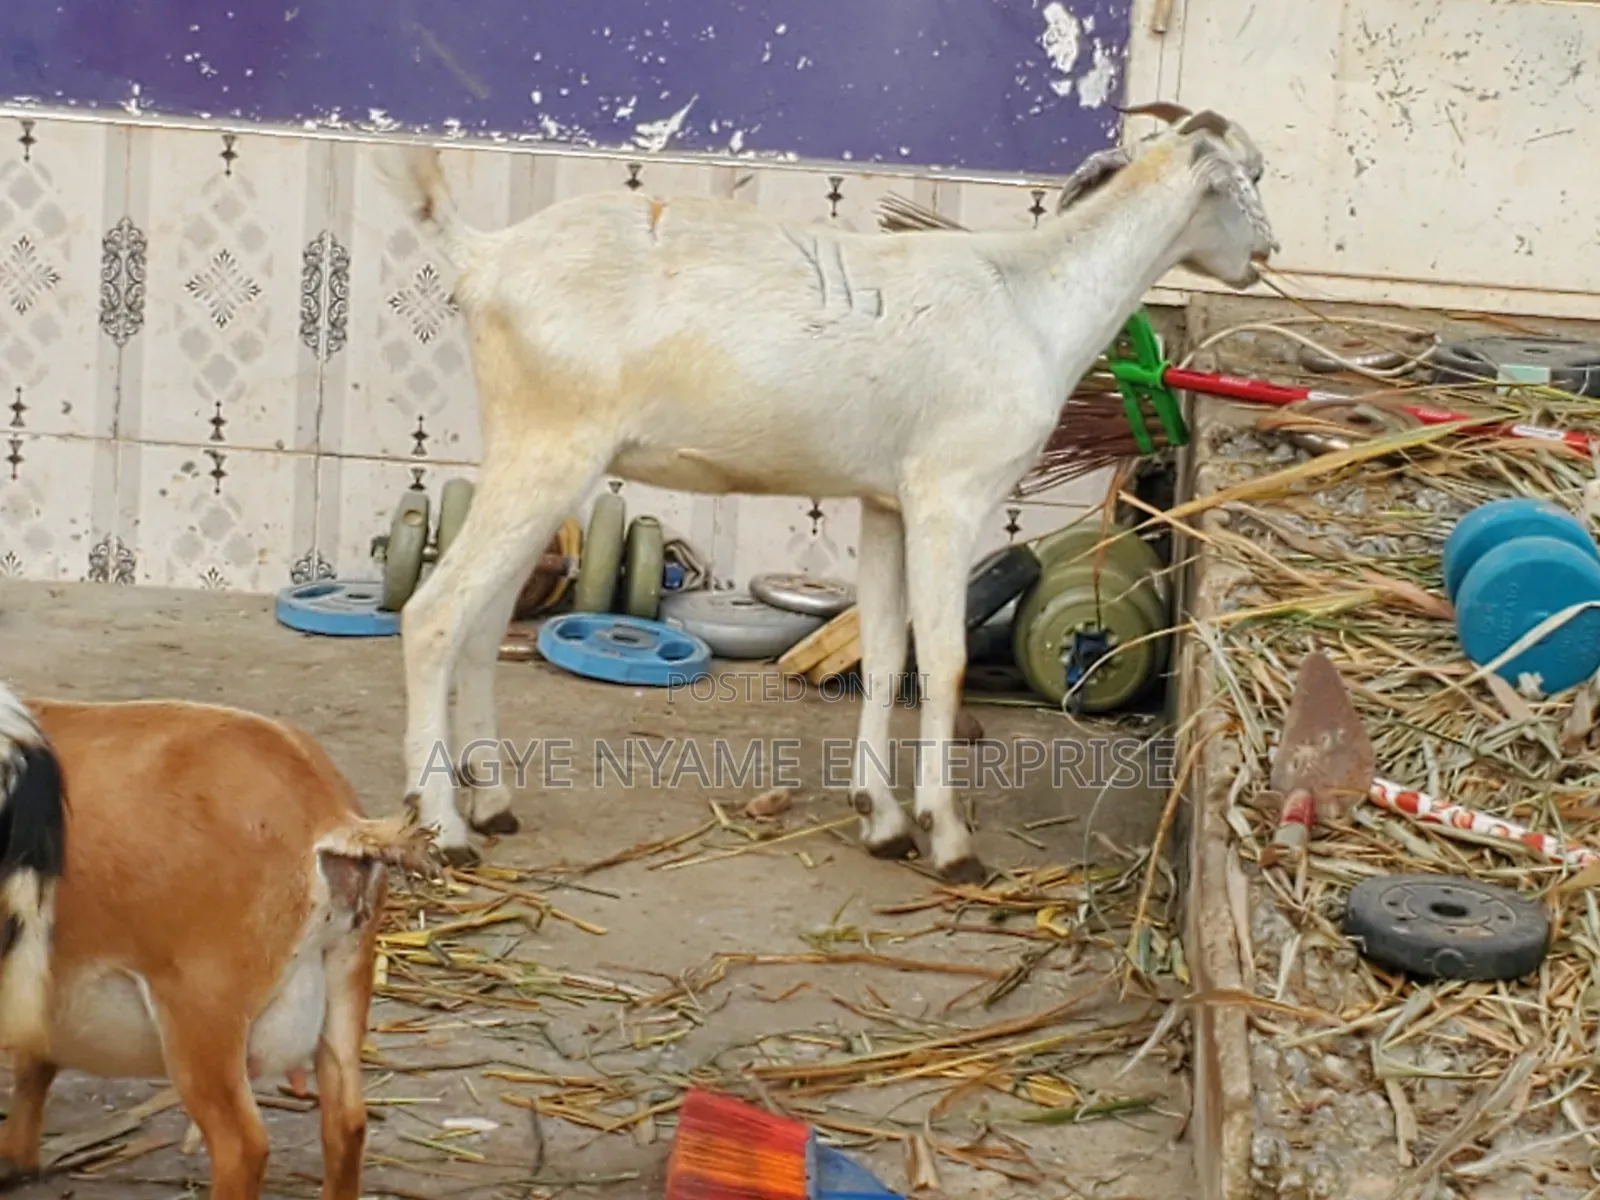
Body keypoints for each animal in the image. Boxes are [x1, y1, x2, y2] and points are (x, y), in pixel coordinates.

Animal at [0, 684, 432, 1200]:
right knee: (347, 1122)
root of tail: (329, 815)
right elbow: (35, 1065)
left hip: (203, 1013)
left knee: (242, 1146)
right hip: (346, 980)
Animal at [378, 102, 1278, 882]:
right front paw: (949, 840)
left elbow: (883, 654)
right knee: (433, 616)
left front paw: (881, 818)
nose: (1266, 255)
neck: (1032, 300)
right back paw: (444, 827)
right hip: (546, 447)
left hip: (538, 460)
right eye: (1253, 175)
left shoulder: (885, 503)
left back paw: (492, 803)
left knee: (483, 623)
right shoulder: (950, 495)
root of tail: (482, 257)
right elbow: (945, 661)